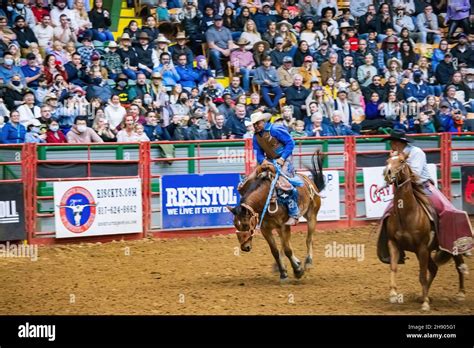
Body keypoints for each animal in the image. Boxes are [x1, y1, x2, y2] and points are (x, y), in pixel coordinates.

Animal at [227, 151, 326, 282]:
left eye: (245, 224)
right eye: (235, 225)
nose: (245, 247)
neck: (267, 198)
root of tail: (310, 182)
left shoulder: (284, 226)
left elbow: (288, 249)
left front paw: (297, 271)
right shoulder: (266, 229)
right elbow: (275, 251)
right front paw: (283, 273)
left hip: (312, 216)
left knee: (308, 239)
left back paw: (308, 262)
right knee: (284, 244)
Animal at [384, 152, 464, 310]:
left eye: (401, 161)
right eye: (388, 160)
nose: (387, 173)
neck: (408, 213)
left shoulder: (421, 248)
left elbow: (421, 275)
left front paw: (426, 304)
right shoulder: (394, 243)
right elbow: (394, 267)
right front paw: (394, 294)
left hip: (452, 247)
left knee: (460, 265)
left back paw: (460, 294)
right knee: (434, 269)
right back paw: (422, 296)